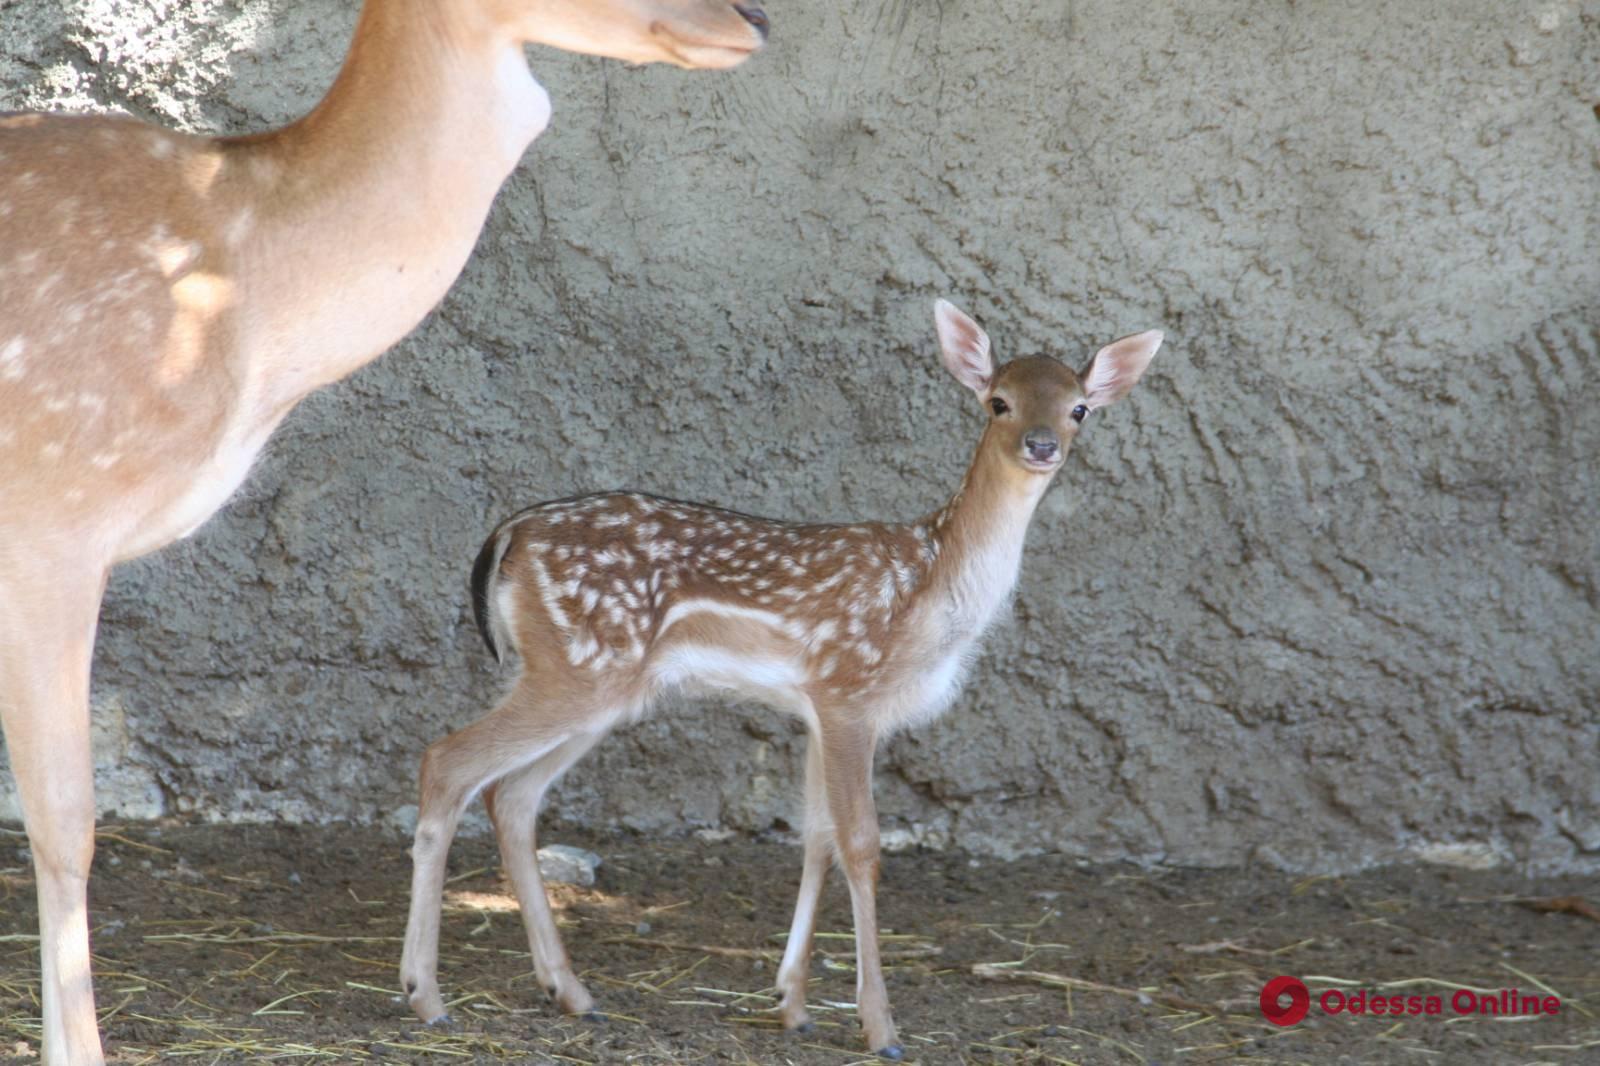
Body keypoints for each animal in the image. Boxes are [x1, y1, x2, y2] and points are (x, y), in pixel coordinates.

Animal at [406, 299, 1164, 1056]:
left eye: (1078, 408)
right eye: (998, 400)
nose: (1042, 444)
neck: (932, 591)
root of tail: (508, 536)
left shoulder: (816, 708)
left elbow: (816, 839)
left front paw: (791, 1003)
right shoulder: (849, 689)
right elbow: (861, 844)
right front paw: (880, 1026)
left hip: (597, 685)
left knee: (511, 794)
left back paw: (570, 992)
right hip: (580, 667)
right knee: (448, 761)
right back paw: (426, 996)